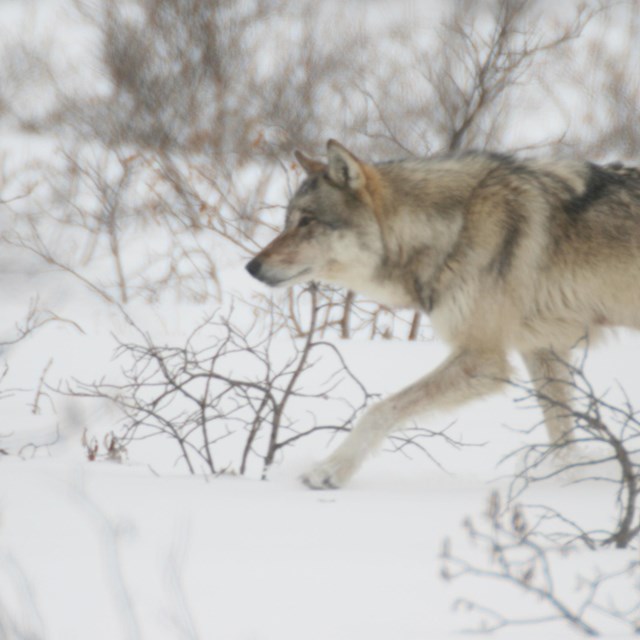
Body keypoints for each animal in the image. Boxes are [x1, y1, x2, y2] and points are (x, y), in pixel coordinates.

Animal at [244, 140, 640, 490]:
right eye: (287, 221)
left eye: (307, 221)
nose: (251, 267)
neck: (456, 227)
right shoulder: (543, 348)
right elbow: (561, 433)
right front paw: (567, 479)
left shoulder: (483, 359)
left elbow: (379, 410)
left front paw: (330, 471)